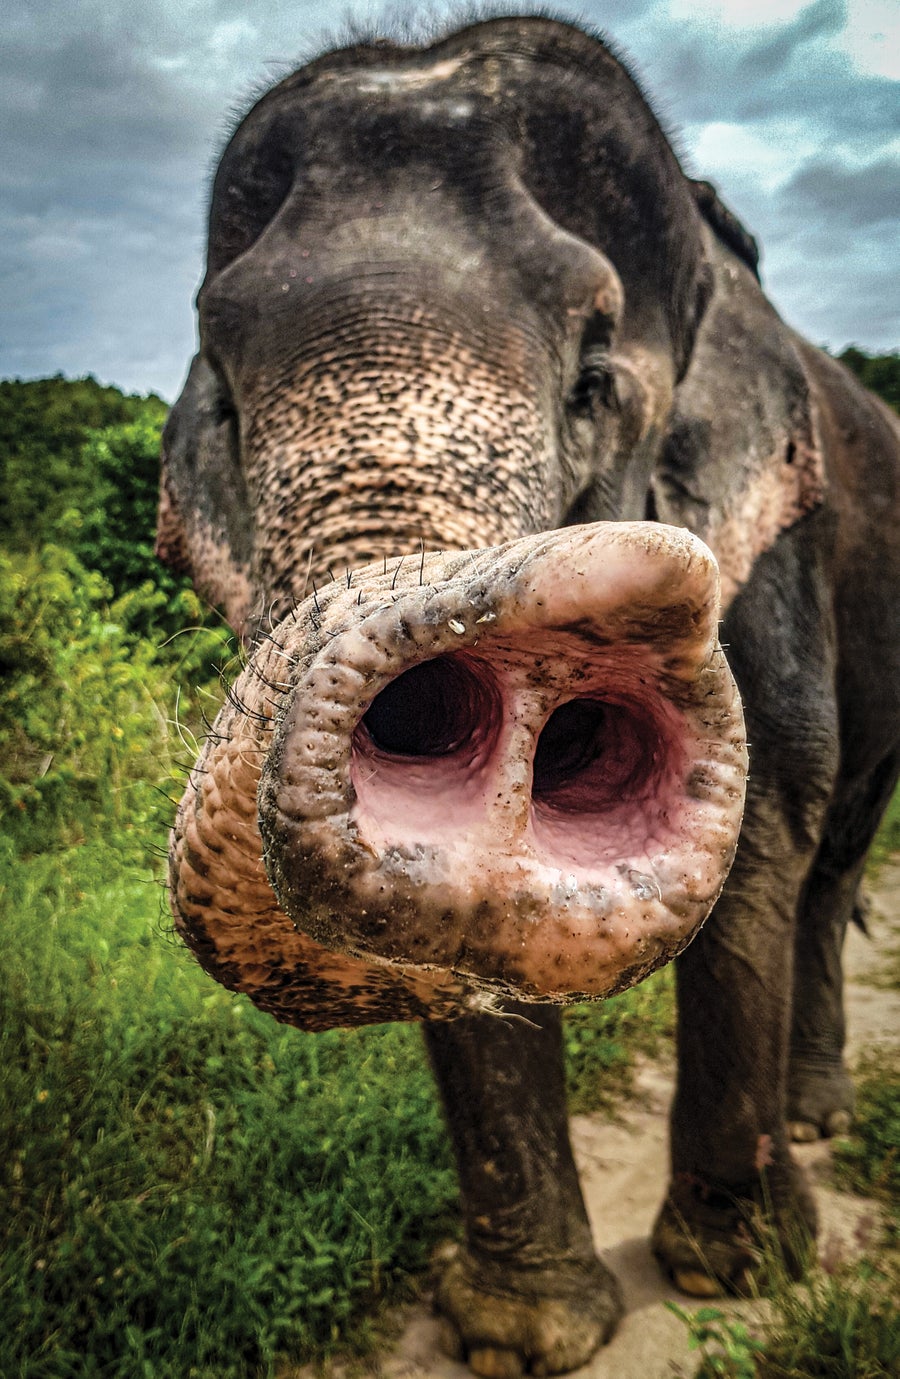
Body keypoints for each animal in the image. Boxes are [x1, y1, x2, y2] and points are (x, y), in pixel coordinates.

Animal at [156, 15, 900, 1377]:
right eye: (224, 401)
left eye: (595, 376)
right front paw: (520, 1333)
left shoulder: (779, 543)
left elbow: (771, 822)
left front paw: (738, 1272)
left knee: (835, 855)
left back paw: (818, 1114)